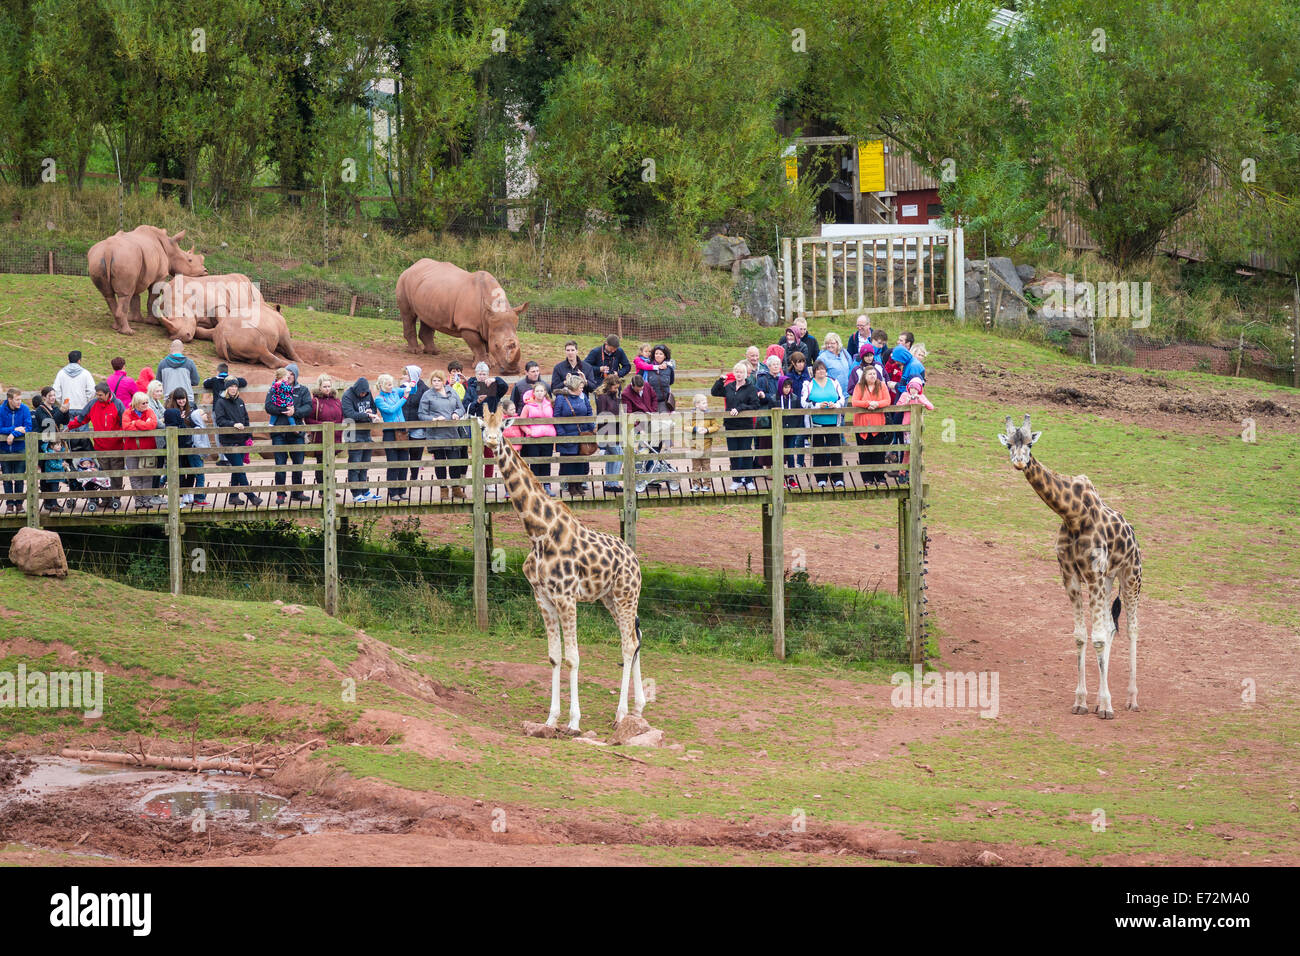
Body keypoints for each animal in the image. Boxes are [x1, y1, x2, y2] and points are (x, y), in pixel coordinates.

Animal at [480, 408, 642, 728]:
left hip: (625, 596)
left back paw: (621, 713)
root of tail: (637, 562)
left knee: (628, 645)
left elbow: (573, 657)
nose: (491, 441)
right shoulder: (542, 597)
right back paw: (639, 707)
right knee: (635, 637)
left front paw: (574, 721)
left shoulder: (567, 598)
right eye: (483, 427)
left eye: (502, 427)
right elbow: (554, 657)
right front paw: (551, 718)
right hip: (609, 598)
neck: (538, 533)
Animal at [998, 416, 1144, 723]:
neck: (1072, 513)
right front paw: (1082, 702)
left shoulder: (1094, 574)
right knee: (1111, 626)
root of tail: (1133, 534)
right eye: (1009, 444)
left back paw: (1131, 699)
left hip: (1131, 575)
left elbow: (1097, 638)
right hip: (1109, 579)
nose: (1019, 462)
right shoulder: (1071, 575)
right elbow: (1080, 636)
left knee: (1132, 628)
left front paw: (1106, 706)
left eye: (1030, 444)